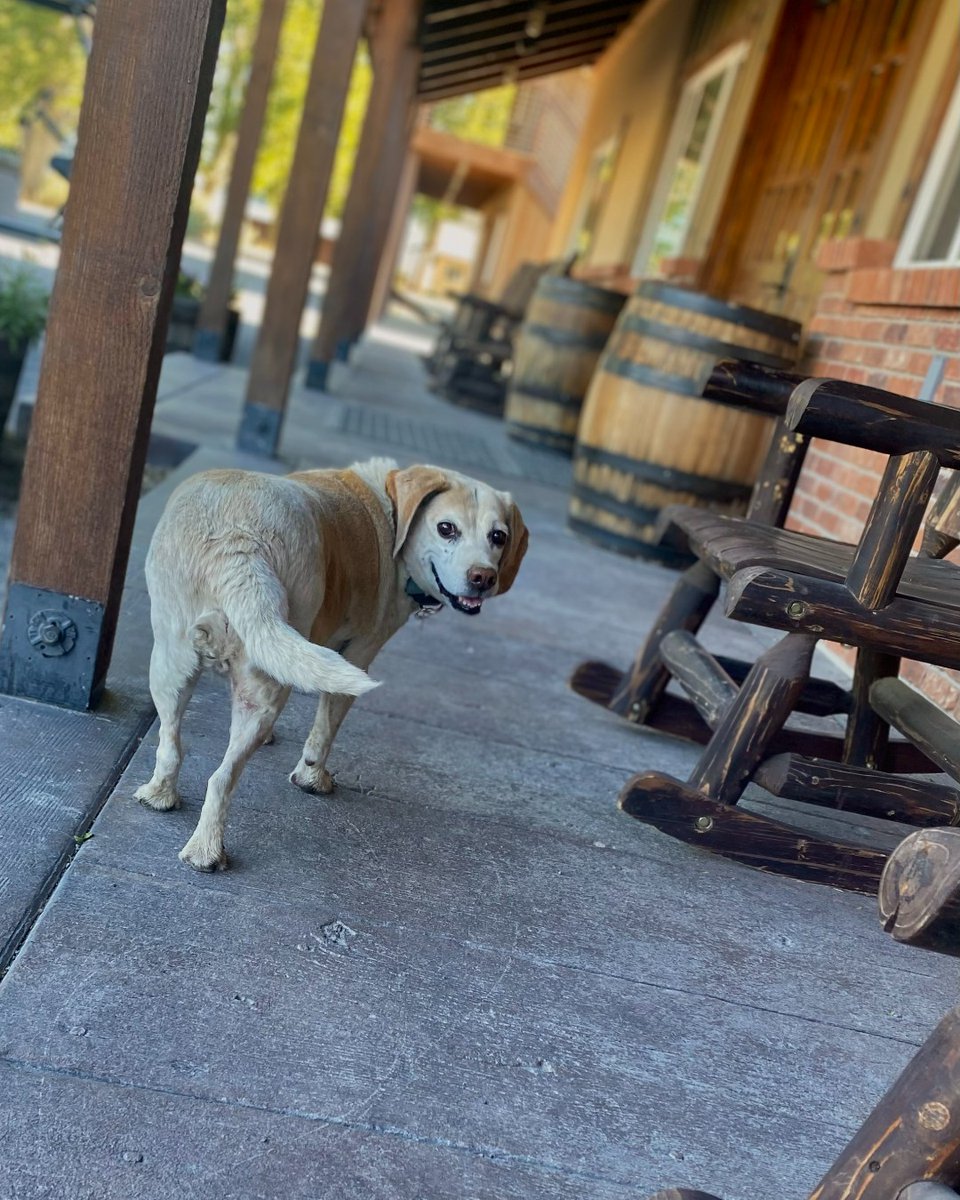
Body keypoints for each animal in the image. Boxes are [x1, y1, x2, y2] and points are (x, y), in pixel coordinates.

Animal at [133, 458, 525, 873]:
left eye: (498, 537)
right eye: (446, 528)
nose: (483, 578)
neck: (392, 511)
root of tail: (236, 538)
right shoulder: (360, 653)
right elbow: (326, 727)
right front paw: (312, 777)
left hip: (170, 665)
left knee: (171, 744)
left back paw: (159, 796)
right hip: (268, 688)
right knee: (221, 779)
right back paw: (206, 851)